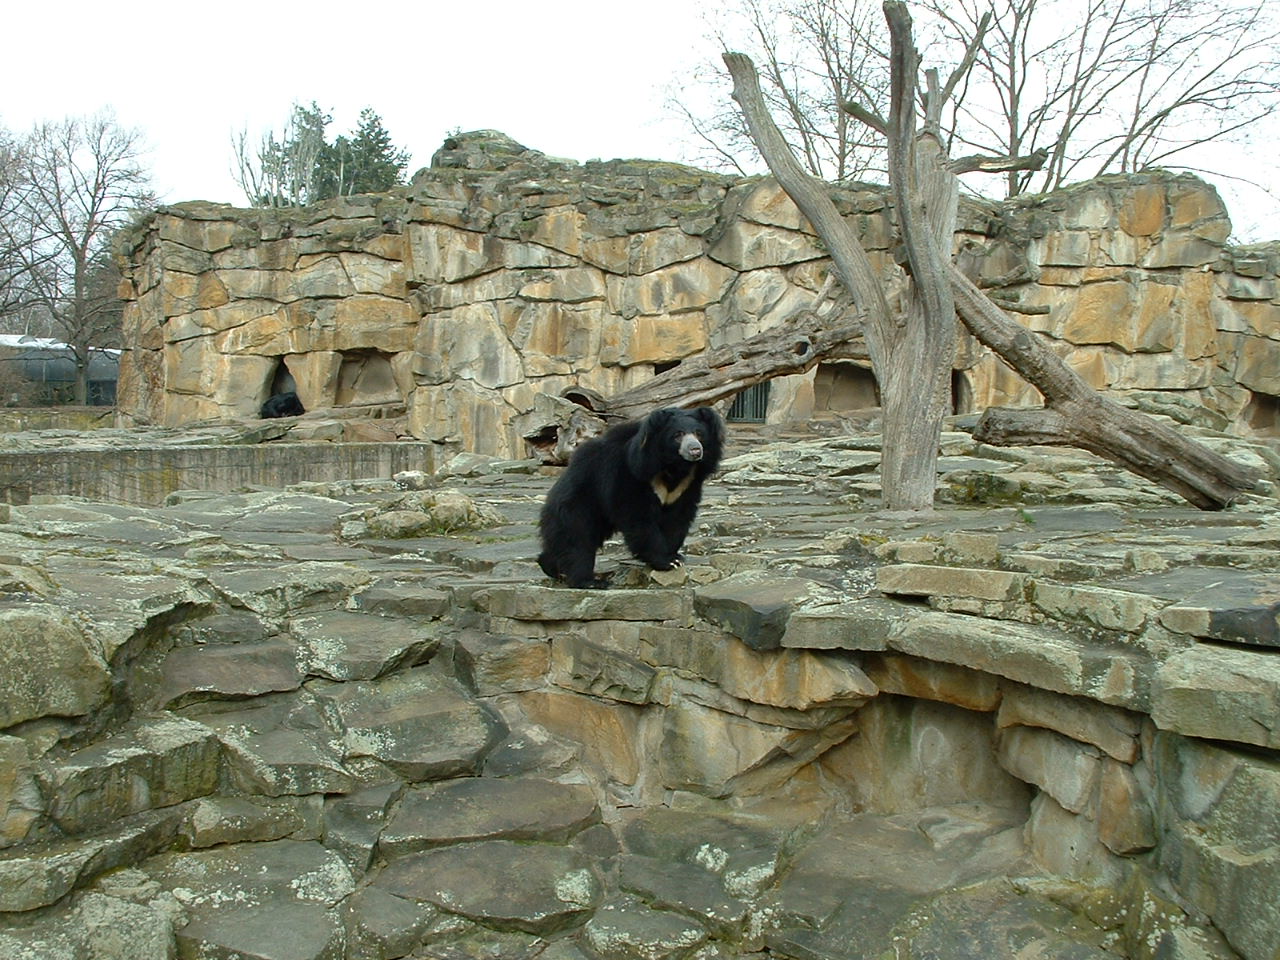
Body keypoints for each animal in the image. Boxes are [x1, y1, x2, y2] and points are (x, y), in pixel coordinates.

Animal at [537, 406, 725, 588]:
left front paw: (675, 557)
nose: (695, 450)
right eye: (678, 435)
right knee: (578, 539)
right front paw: (666, 561)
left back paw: (551, 568)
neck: (673, 466)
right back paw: (588, 581)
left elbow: (677, 518)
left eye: (699, 433)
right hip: (578, 504)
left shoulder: (686, 485)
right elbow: (638, 517)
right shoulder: (629, 475)